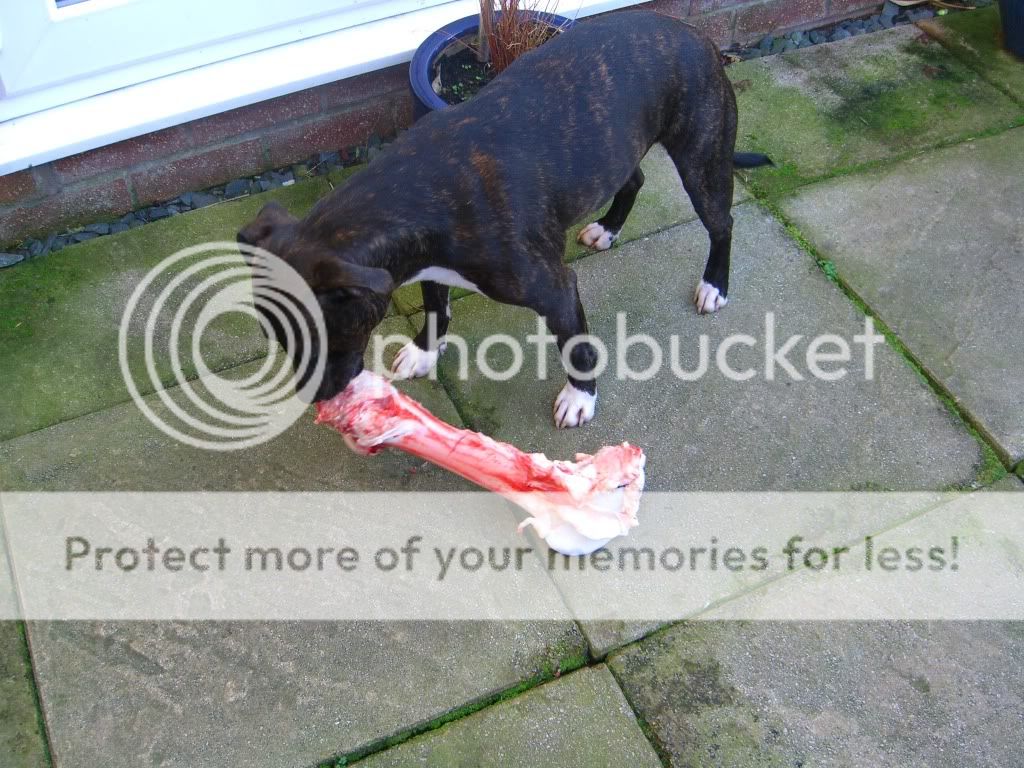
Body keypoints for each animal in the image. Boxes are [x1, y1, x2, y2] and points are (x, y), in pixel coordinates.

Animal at [237, 12, 770, 430]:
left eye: (323, 337)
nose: (318, 399)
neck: (411, 190)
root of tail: (695, 34)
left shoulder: (554, 288)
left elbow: (576, 345)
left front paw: (580, 398)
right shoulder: (426, 266)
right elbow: (436, 307)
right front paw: (425, 351)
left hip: (701, 160)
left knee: (721, 224)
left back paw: (714, 284)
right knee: (633, 178)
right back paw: (608, 227)